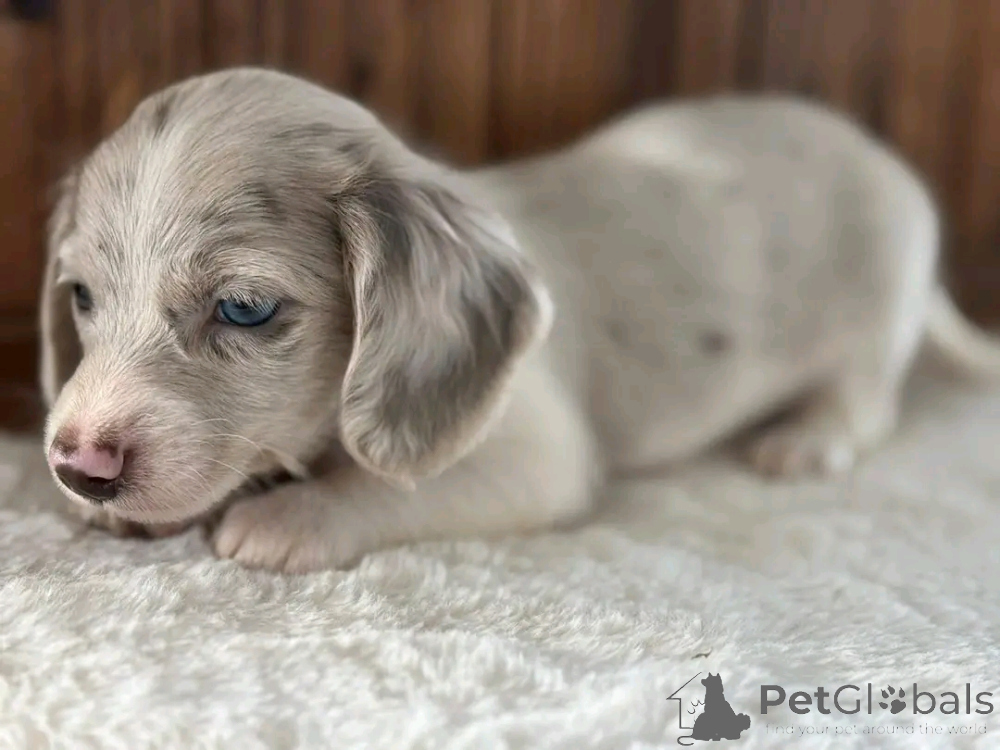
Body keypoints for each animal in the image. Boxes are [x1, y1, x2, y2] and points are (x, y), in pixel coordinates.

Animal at [39, 67, 1000, 572]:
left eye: (244, 308)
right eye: (82, 298)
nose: (79, 466)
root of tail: (887, 162)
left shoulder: (535, 456)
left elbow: (390, 483)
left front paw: (291, 516)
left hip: (875, 321)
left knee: (866, 405)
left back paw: (803, 438)